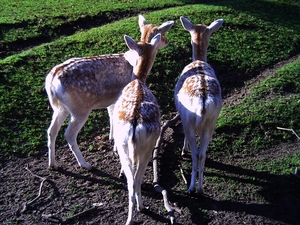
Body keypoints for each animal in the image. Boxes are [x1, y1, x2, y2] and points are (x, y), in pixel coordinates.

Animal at [45, 15, 175, 171]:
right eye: (162, 33)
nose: (167, 41)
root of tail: (51, 82)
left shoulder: (112, 100)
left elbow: (111, 115)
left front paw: (111, 138)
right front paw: (114, 144)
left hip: (60, 107)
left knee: (51, 130)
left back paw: (52, 164)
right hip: (80, 108)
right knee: (69, 134)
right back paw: (85, 164)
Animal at [112, 33, 162, 225]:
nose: (125, 55)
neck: (139, 80)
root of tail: (134, 130)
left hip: (133, 145)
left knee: (133, 181)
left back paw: (135, 213)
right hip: (145, 146)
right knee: (135, 180)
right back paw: (135, 213)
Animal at [173, 16, 223, 195]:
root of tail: (202, 107)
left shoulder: (183, 116)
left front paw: (183, 149)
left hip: (189, 119)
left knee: (195, 154)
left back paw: (191, 188)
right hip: (211, 122)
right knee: (202, 154)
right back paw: (200, 188)